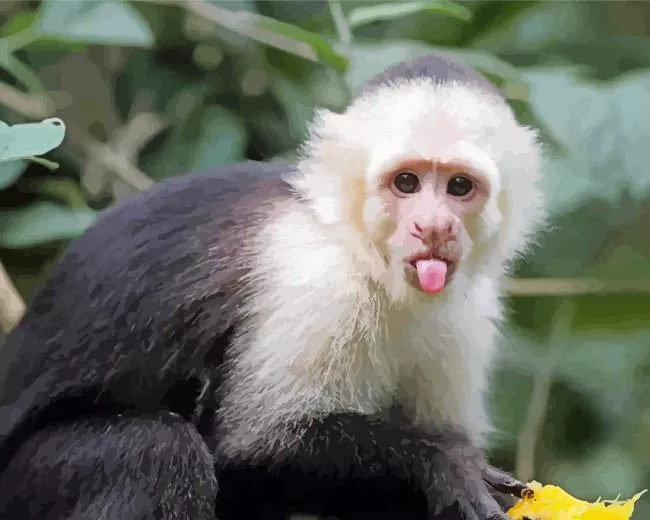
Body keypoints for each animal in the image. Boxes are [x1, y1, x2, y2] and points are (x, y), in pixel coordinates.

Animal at [0, 53, 545, 520]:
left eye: (459, 187)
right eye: (406, 183)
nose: (432, 227)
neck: (369, 262)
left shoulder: (465, 315)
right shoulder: (317, 280)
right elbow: (252, 448)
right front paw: (441, 461)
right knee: (154, 452)